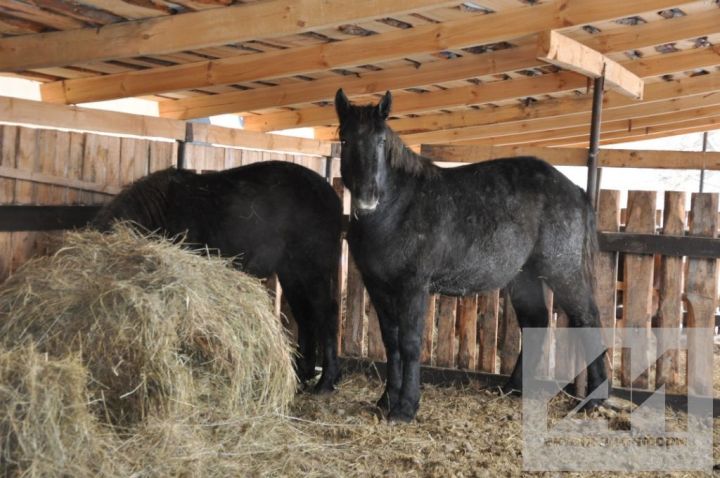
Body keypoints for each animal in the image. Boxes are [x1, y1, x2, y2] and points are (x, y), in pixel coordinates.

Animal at [93, 161, 344, 392]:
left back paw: (325, 382)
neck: (162, 213)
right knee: (306, 318)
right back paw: (302, 377)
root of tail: (331, 196)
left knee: (326, 315)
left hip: (313, 270)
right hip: (292, 273)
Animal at [336, 89, 608, 422]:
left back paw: (596, 399)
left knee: (587, 318)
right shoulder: (377, 287)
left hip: (563, 271)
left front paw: (405, 407)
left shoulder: (413, 287)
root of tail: (577, 191)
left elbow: (410, 342)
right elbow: (392, 343)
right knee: (536, 321)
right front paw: (386, 399)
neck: (398, 209)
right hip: (524, 276)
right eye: (345, 139)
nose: (367, 199)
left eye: (380, 140)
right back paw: (515, 388)